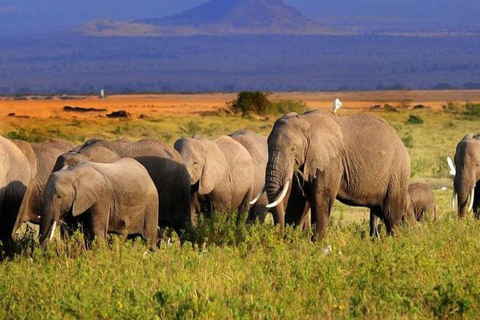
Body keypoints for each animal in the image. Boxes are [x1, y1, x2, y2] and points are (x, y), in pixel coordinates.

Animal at [264, 111, 410, 239]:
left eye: (293, 149)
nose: (279, 235)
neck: (306, 121)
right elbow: (298, 201)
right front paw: (291, 244)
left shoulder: (331, 162)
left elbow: (321, 198)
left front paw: (317, 246)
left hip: (397, 173)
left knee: (391, 216)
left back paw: (393, 244)